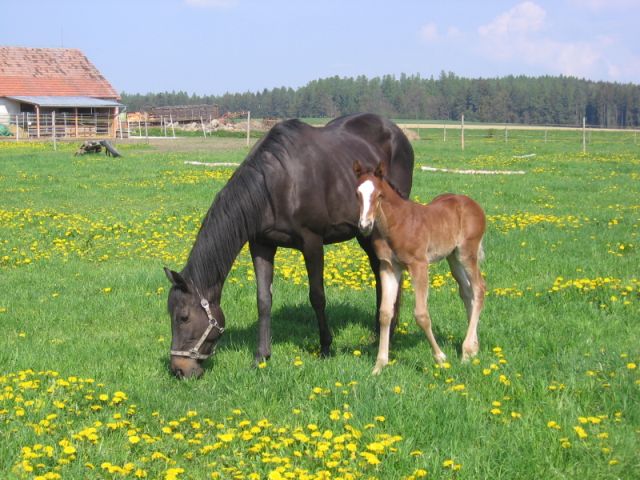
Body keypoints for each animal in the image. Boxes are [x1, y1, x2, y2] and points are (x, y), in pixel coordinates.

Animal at [164, 114, 416, 376]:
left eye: (183, 317)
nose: (179, 370)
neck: (277, 183)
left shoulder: (312, 242)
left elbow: (317, 297)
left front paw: (326, 347)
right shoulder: (261, 245)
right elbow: (263, 300)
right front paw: (261, 355)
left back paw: (389, 331)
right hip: (364, 231)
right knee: (379, 272)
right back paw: (379, 332)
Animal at [356, 161, 484, 376]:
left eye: (379, 195)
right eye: (357, 193)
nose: (364, 226)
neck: (396, 223)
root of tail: (474, 204)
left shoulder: (419, 265)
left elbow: (421, 314)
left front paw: (440, 358)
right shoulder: (389, 267)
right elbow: (385, 313)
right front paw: (379, 365)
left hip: (467, 253)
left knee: (479, 288)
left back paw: (466, 351)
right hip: (453, 257)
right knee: (467, 291)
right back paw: (474, 347)